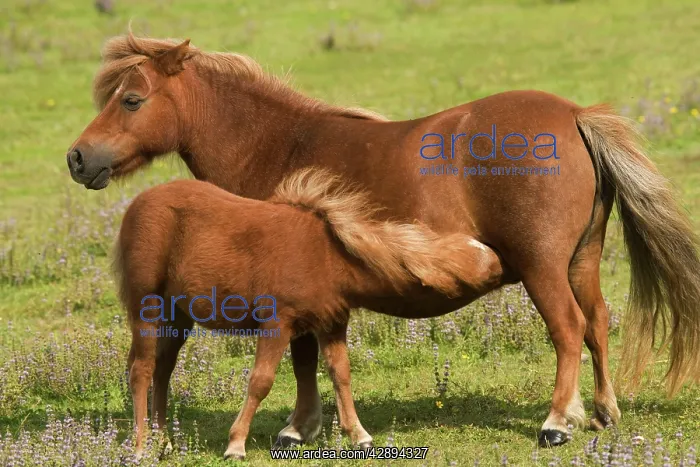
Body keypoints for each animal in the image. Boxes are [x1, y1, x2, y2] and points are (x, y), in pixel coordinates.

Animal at [114, 168, 503, 459]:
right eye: (468, 261)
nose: (500, 266)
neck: (328, 254)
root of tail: (137, 204)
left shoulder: (331, 324)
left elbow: (340, 374)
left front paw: (359, 435)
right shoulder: (277, 324)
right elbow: (261, 382)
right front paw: (236, 444)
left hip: (177, 317)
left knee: (162, 369)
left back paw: (163, 440)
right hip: (147, 307)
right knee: (141, 370)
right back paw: (141, 446)